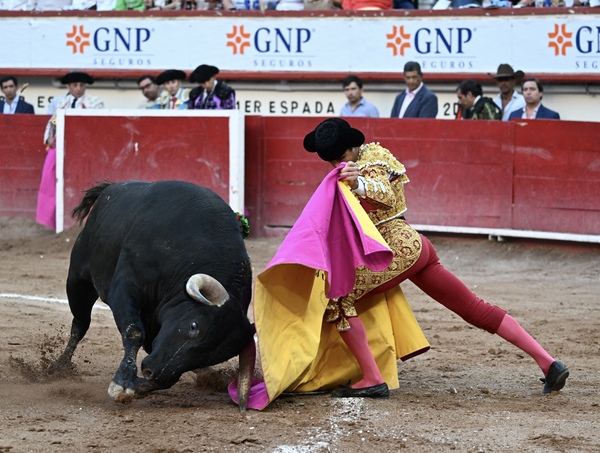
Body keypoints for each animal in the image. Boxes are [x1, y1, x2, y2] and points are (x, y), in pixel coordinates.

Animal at [51, 180, 256, 412]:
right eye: (193, 326)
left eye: (212, 356)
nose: (153, 372)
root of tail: (111, 188)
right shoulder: (125, 286)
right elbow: (134, 331)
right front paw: (122, 383)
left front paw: (139, 385)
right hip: (78, 280)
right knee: (80, 323)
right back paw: (60, 367)